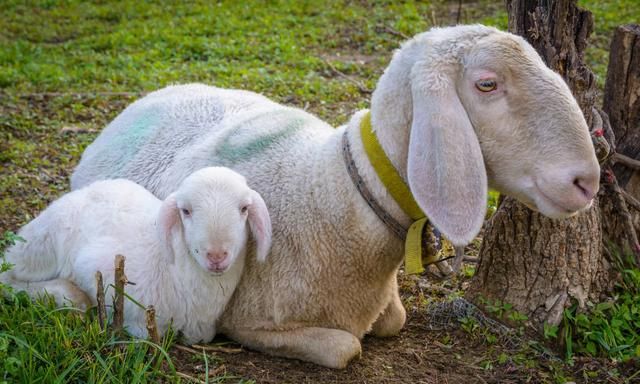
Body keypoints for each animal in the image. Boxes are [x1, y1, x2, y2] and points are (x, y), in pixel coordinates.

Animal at [0, 166, 270, 344]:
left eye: (244, 208)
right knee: (8, 277)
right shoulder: (94, 266)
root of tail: (88, 188)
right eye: (185, 211)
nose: (216, 255)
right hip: (40, 245)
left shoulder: (201, 331)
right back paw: (69, 296)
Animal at [70, 24, 600, 368]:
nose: (587, 182)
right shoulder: (251, 318)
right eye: (487, 83)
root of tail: (146, 98)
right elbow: (346, 347)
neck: (332, 194)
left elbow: (393, 320)